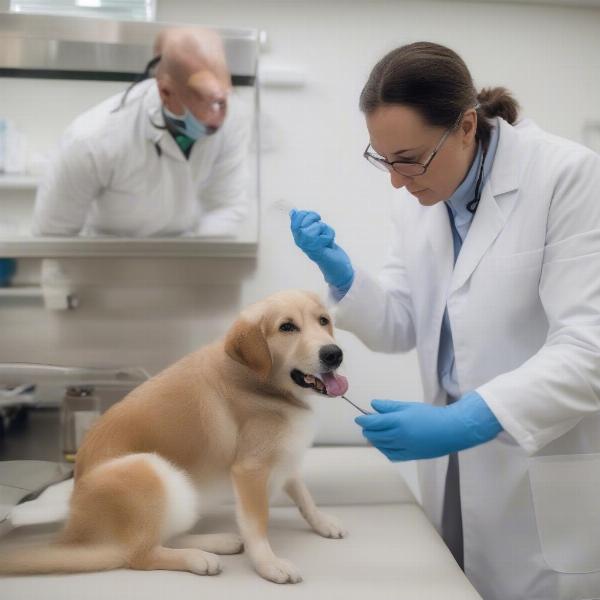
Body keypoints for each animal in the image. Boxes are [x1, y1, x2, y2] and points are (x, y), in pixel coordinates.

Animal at [0, 292, 350, 584]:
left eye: (323, 320)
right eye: (287, 327)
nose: (334, 354)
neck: (260, 382)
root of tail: (76, 531)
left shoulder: (284, 458)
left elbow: (303, 494)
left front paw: (322, 522)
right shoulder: (250, 470)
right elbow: (257, 524)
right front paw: (268, 564)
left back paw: (216, 541)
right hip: (152, 469)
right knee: (138, 554)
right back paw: (197, 557)